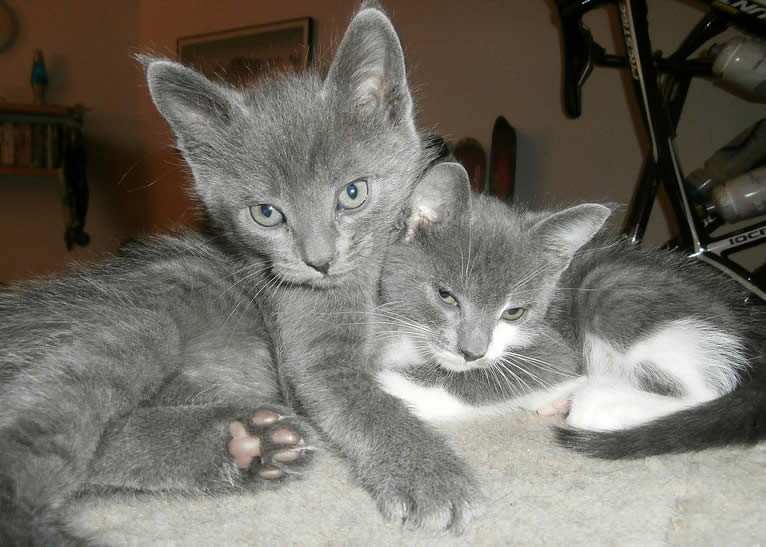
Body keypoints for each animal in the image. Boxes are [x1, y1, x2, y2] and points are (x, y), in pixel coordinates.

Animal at [0, 4, 480, 544]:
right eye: (266, 214)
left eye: (353, 193)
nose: (319, 260)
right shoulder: (313, 351)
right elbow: (364, 403)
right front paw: (430, 475)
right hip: (135, 321)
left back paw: (246, 441)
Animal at [376, 162, 764, 458]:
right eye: (446, 296)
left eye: (513, 313)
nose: (472, 352)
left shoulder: (555, 349)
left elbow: (493, 377)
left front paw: (386, 385)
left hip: (615, 288)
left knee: (701, 393)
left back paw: (591, 400)